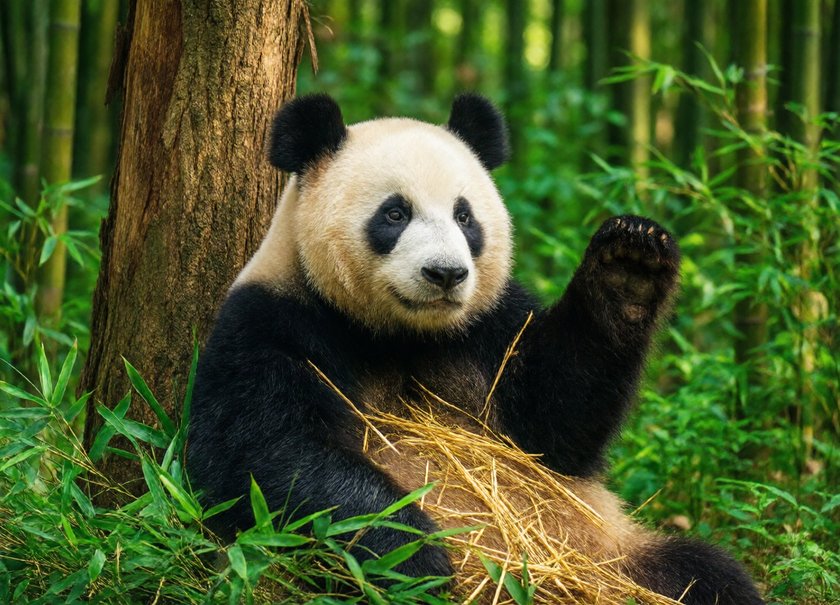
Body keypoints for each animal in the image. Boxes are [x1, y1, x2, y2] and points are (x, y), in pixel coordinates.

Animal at [186, 93, 764, 604]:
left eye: (465, 217)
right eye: (394, 214)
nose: (445, 273)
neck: (400, 334)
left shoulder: (491, 329)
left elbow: (556, 426)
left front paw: (630, 264)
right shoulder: (270, 324)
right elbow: (269, 456)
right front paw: (417, 557)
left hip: (614, 555)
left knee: (706, 575)